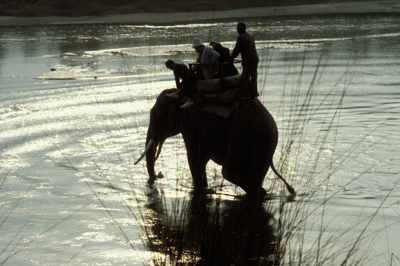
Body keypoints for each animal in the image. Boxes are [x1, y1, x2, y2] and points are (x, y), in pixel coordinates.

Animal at [136, 88, 296, 197]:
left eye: (158, 116)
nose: (159, 175)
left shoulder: (193, 127)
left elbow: (195, 160)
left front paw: (202, 189)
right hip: (263, 149)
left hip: (243, 141)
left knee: (229, 173)